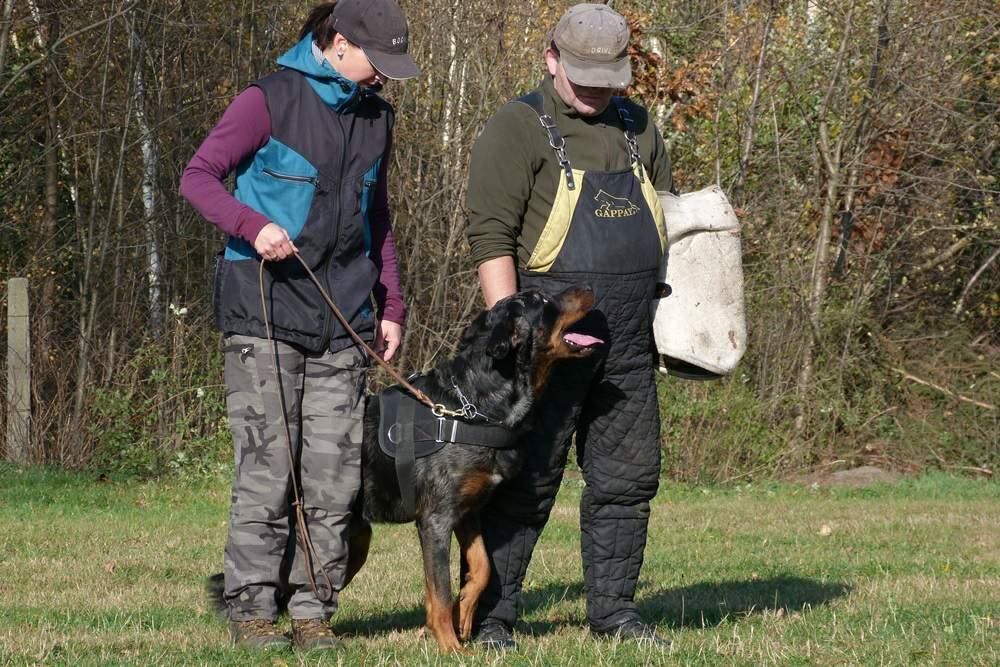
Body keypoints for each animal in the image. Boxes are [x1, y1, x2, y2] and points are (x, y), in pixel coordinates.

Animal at [209, 286, 600, 652]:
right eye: (542, 301)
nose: (588, 289)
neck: (473, 406)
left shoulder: (468, 511)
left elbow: (482, 568)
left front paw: (463, 613)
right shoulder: (436, 520)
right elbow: (440, 590)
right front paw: (449, 645)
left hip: (354, 541)